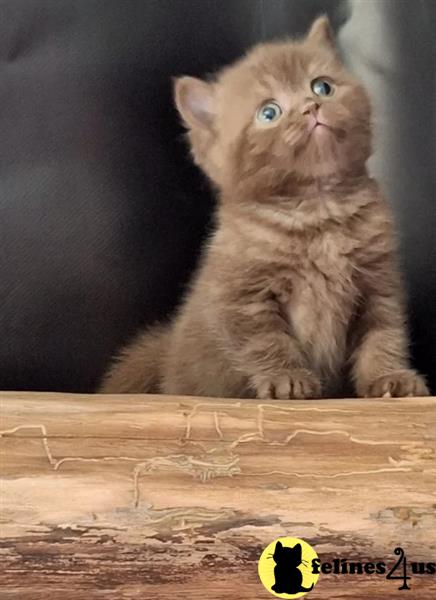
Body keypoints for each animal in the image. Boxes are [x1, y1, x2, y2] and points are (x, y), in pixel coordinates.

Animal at [99, 16, 430, 398]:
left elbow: (383, 336)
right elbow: (266, 341)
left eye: (322, 87)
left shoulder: (378, 285)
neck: (318, 211)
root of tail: (166, 357)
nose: (311, 107)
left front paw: (389, 378)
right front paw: (288, 379)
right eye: (269, 112)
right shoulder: (245, 297)